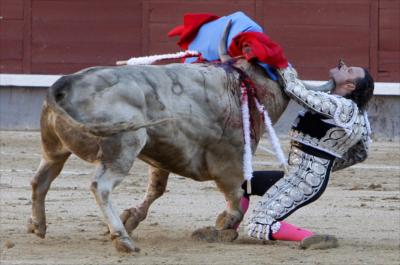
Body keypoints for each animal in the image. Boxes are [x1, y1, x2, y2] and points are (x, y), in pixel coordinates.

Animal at [28, 24, 332, 252]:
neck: (240, 84)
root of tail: (64, 84)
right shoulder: (230, 164)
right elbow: (236, 199)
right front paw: (223, 226)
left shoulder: (162, 156)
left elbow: (156, 189)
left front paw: (132, 218)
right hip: (123, 148)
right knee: (99, 186)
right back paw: (122, 240)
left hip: (54, 148)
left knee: (41, 179)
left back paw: (38, 225)